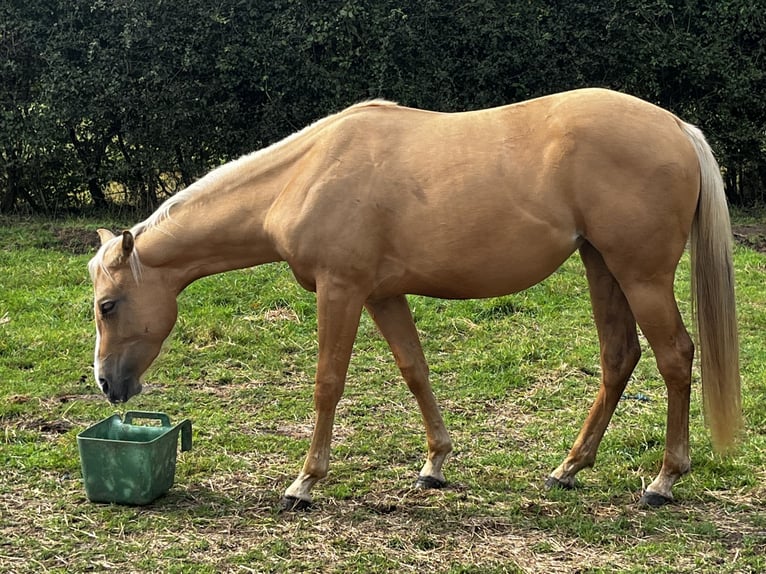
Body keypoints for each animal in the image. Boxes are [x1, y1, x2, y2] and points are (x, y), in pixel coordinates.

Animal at [87, 89, 740, 508]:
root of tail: (676, 127)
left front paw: (305, 482)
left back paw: (663, 480)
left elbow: (328, 382)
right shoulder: (383, 296)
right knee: (618, 358)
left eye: (107, 305)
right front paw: (434, 466)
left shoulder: (341, 290)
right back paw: (568, 469)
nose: (107, 384)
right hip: (602, 266)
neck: (305, 174)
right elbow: (415, 370)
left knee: (675, 358)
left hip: (641, 276)